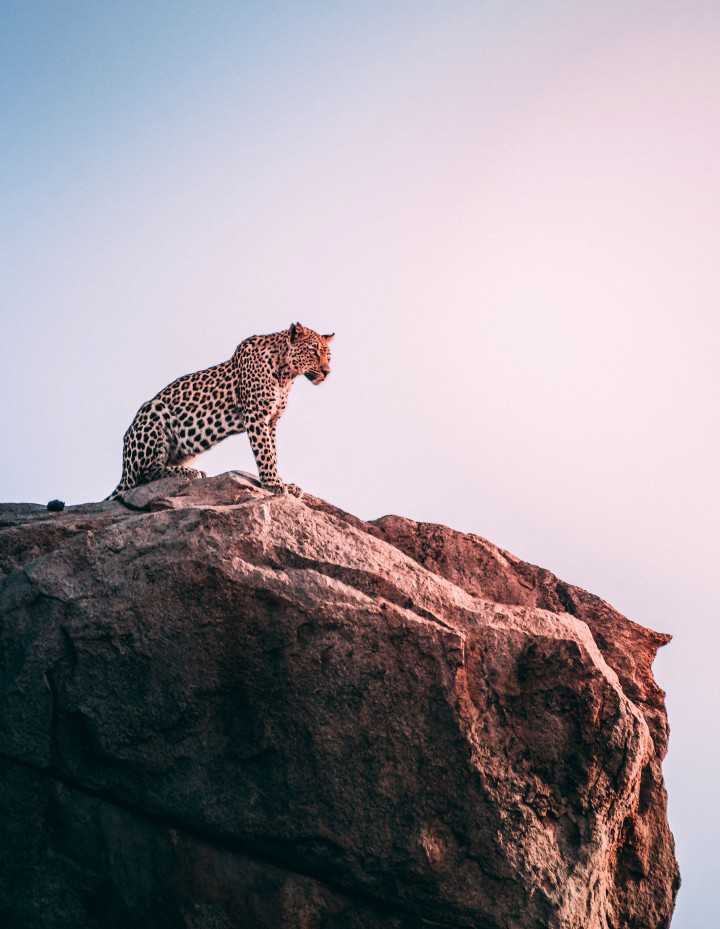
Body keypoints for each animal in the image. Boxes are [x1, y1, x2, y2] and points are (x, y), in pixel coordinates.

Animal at [106, 324, 334, 500]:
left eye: (328, 356)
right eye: (313, 351)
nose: (327, 372)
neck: (286, 375)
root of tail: (124, 468)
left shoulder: (271, 421)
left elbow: (273, 453)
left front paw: (283, 482)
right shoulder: (256, 416)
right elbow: (265, 453)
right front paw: (273, 484)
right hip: (154, 414)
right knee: (146, 474)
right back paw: (190, 472)